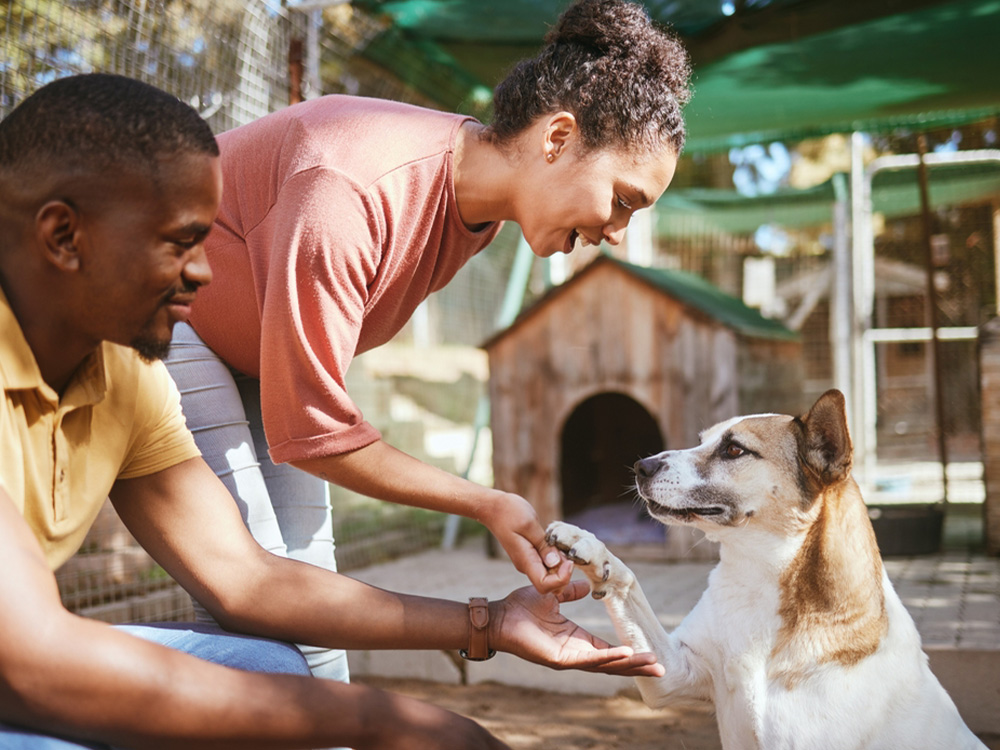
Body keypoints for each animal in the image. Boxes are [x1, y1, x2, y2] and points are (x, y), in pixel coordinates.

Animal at [548, 390, 984, 750]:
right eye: (702, 439)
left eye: (734, 450)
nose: (641, 466)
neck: (759, 581)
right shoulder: (673, 674)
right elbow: (627, 580)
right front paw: (588, 545)